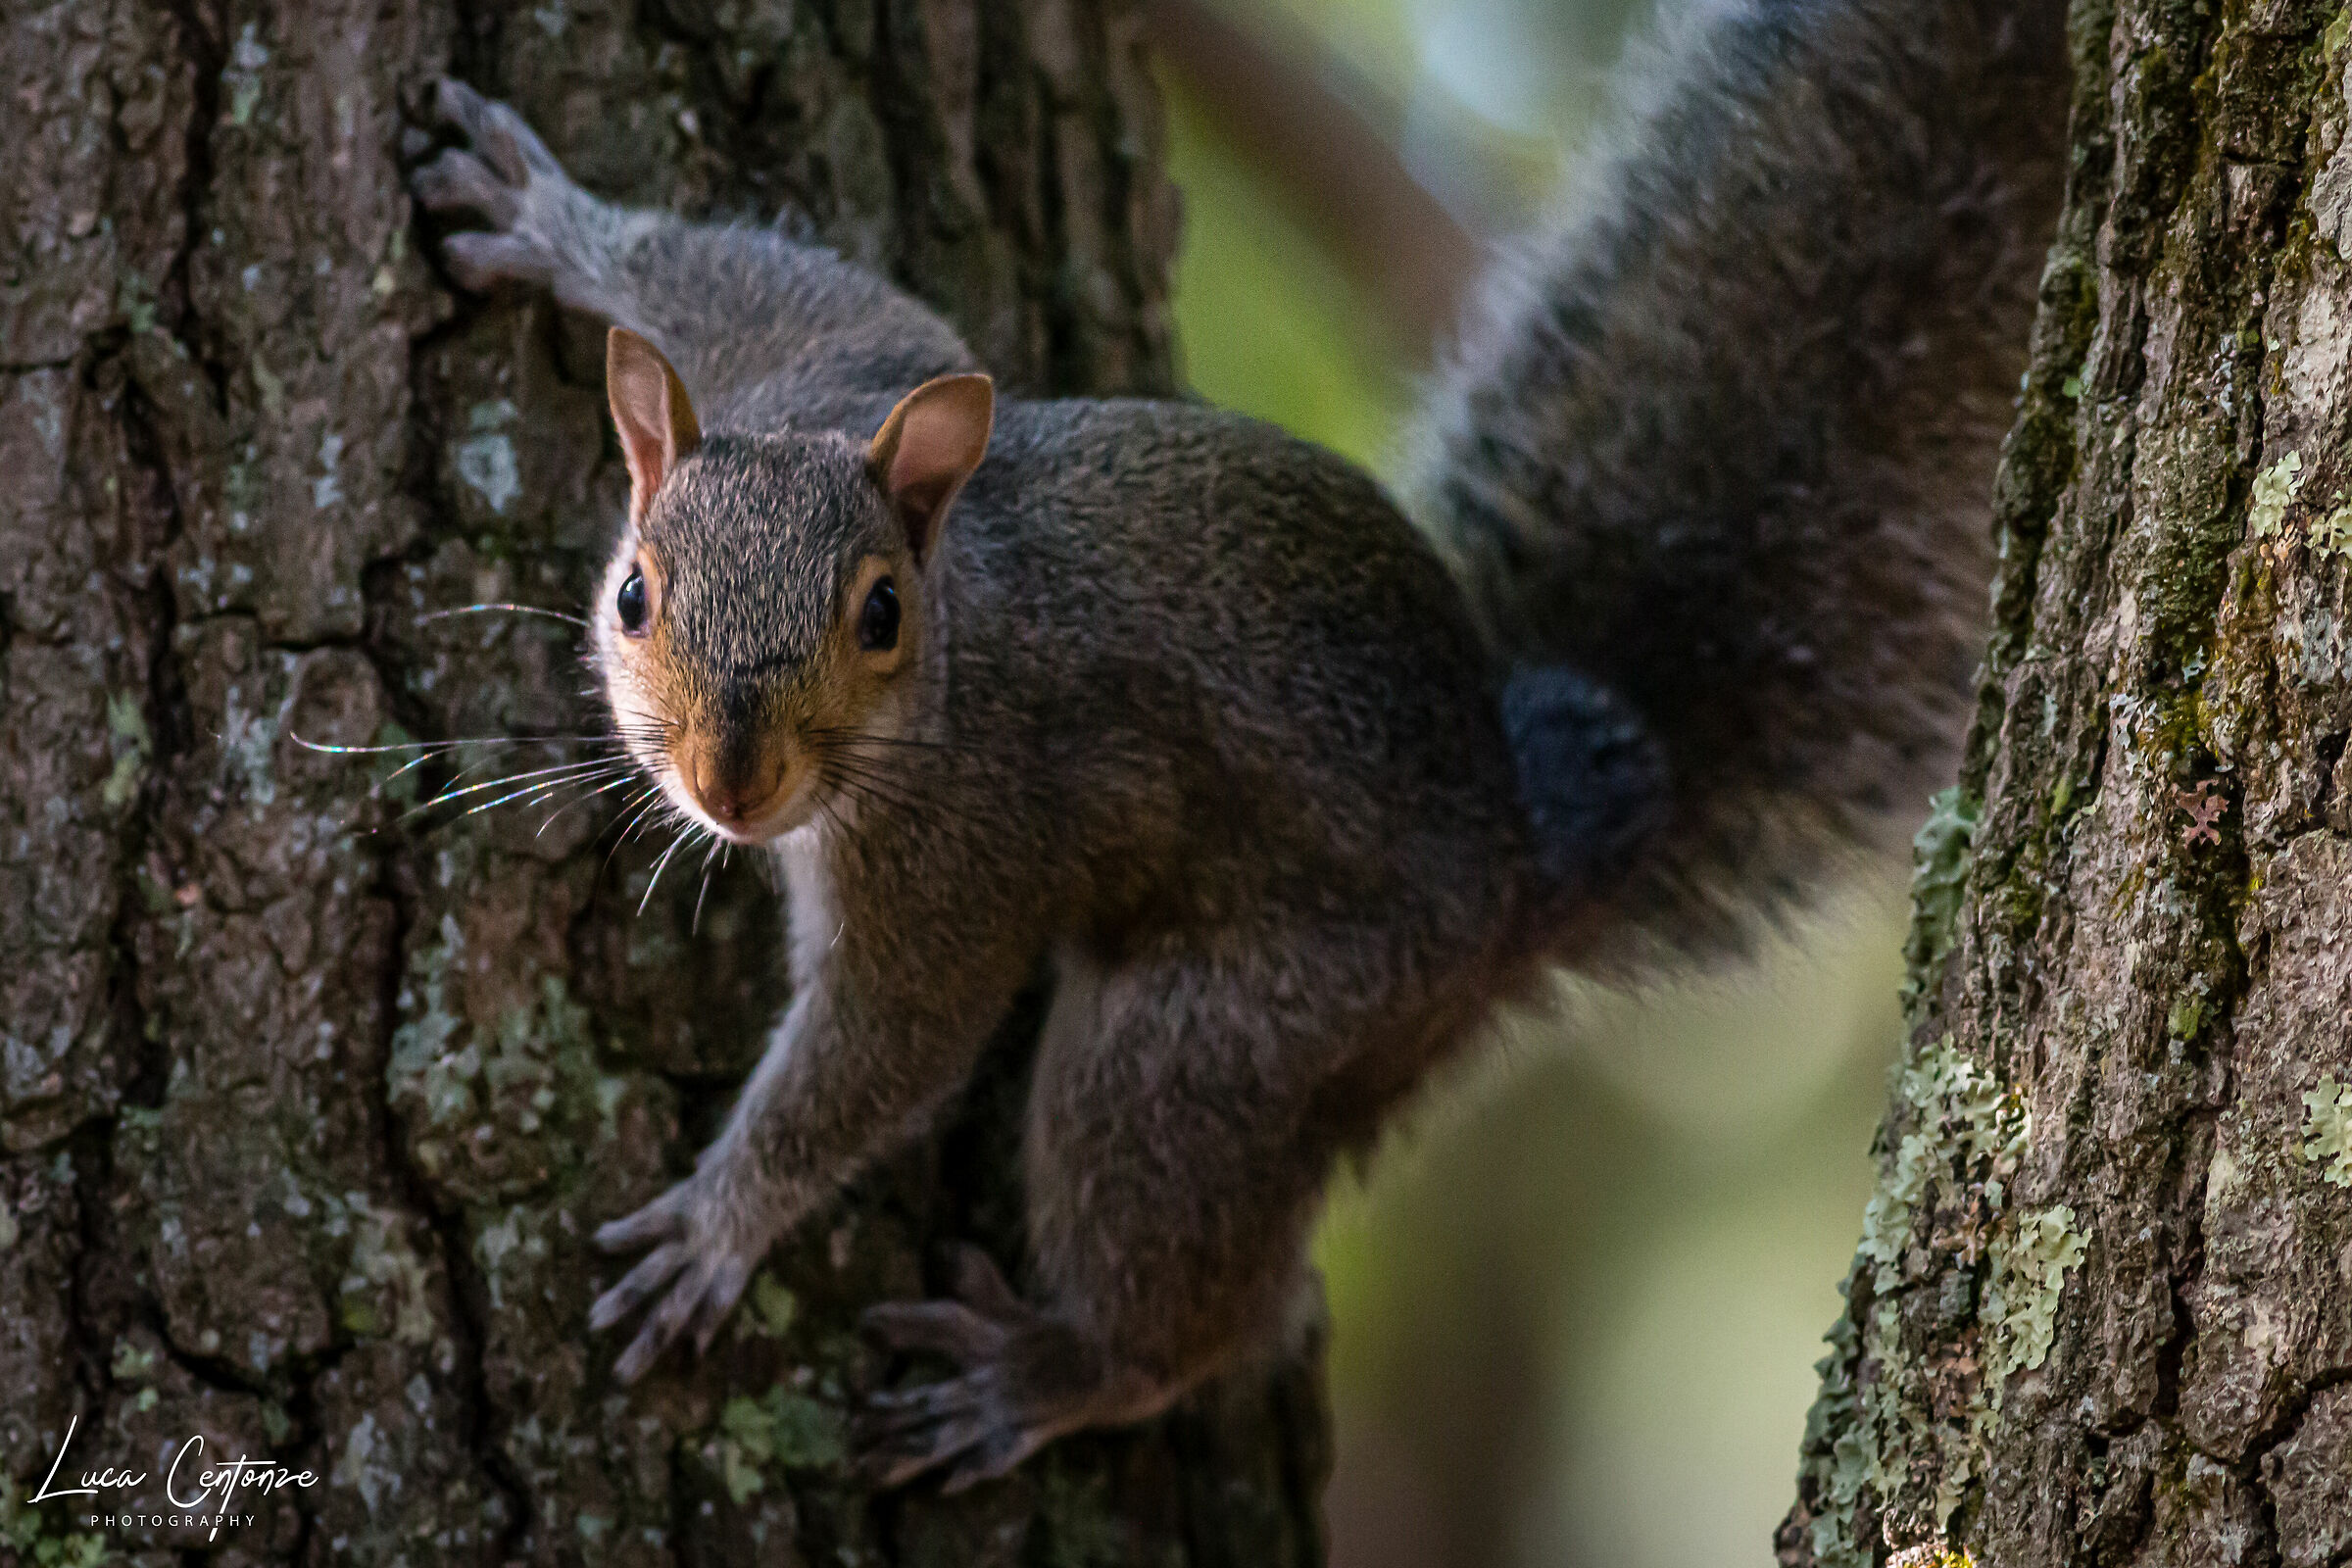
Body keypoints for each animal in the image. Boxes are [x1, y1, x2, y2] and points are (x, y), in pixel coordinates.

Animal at [408, 0, 2070, 1491]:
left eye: (877, 615)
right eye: (633, 593)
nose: (732, 784)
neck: (958, 622)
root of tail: (1524, 869)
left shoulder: (958, 859)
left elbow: (889, 1049)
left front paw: (716, 1224)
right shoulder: (835, 354)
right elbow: (747, 273)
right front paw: (547, 217)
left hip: (1215, 1038)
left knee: (1196, 1278)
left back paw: (1048, 1374)